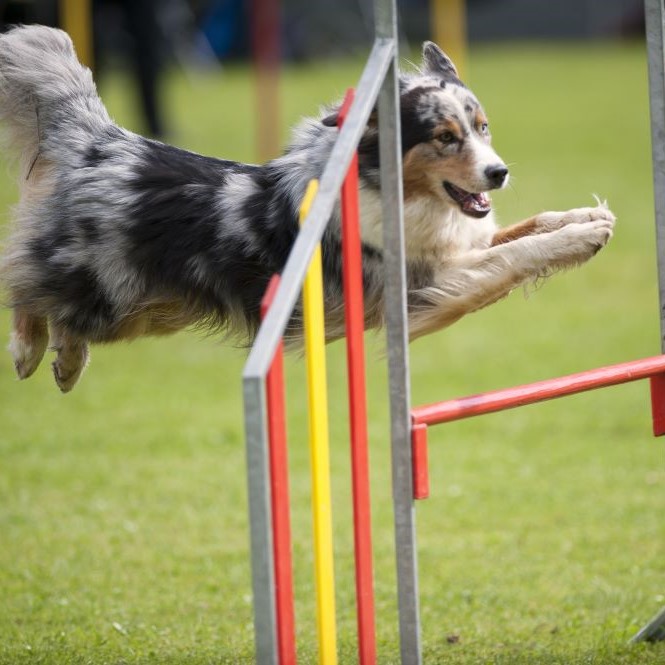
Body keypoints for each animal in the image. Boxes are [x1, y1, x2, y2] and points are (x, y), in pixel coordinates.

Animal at [0, 26, 612, 392]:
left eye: (483, 128)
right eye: (444, 137)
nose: (498, 172)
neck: (393, 191)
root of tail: (97, 139)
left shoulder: (458, 249)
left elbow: (527, 230)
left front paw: (588, 220)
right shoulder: (426, 288)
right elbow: (517, 257)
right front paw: (582, 236)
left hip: (144, 307)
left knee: (55, 306)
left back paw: (63, 361)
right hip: (108, 287)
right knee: (24, 281)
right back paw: (33, 352)